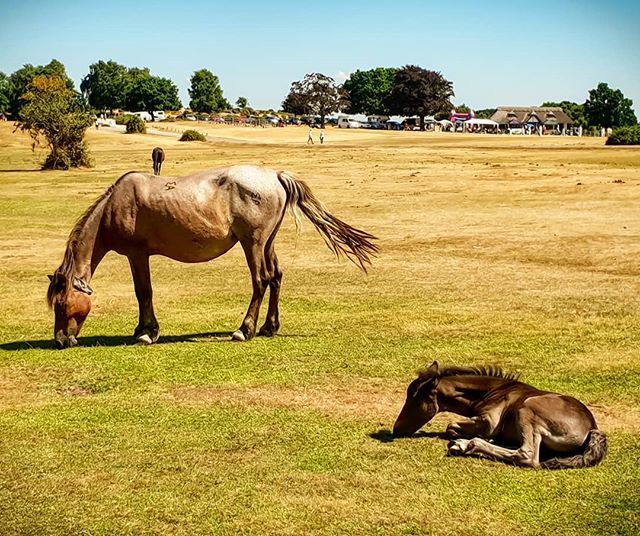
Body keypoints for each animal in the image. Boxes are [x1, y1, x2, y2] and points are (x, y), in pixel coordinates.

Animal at [46, 165, 378, 349]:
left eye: (61, 305)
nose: (60, 341)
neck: (115, 205)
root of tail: (275, 176)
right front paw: (144, 330)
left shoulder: (137, 254)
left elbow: (144, 292)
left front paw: (146, 332)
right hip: (267, 242)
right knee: (276, 277)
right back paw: (269, 327)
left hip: (252, 242)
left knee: (261, 280)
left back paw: (245, 329)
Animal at [393, 361, 607, 469]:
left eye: (414, 400)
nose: (396, 429)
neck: (494, 391)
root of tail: (592, 427)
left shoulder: (489, 422)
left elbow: (451, 426)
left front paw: (468, 440)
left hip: (527, 408)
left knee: (527, 455)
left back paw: (467, 444)